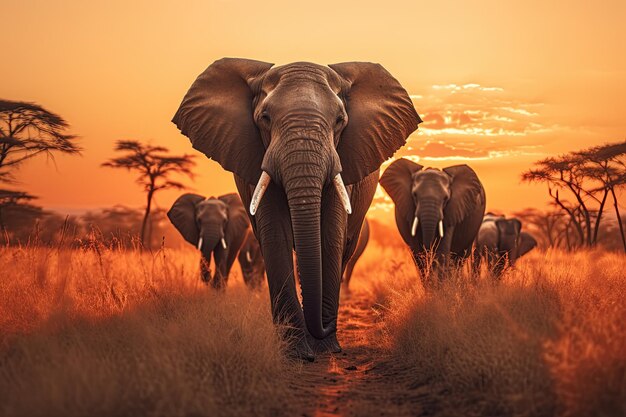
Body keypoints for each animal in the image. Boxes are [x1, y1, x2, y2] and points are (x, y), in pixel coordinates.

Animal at [171, 58, 420, 360]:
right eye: (265, 118)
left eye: (340, 121)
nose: (325, 328)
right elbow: (275, 235)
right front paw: (297, 352)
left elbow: (330, 236)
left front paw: (325, 348)